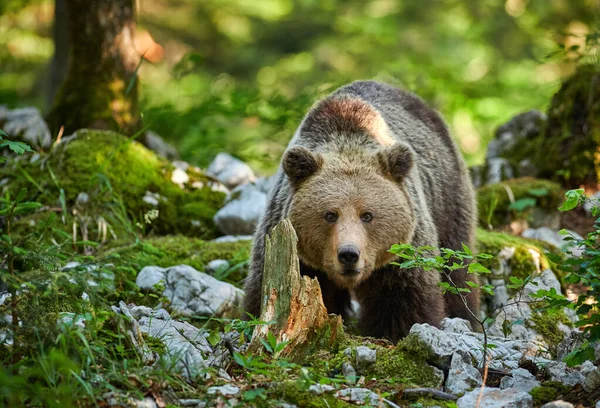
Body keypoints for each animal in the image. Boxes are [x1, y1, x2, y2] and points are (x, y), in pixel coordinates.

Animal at [243, 79, 478, 342]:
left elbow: (404, 300)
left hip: (448, 198)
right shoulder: (286, 244)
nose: (348, 254)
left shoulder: (403, 254)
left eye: (367, 215)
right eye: (330, 215)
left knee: (457, 268)